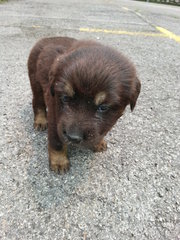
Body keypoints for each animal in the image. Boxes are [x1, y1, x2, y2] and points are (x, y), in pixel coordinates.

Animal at [27, 36, 141, 172]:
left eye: (103, 107)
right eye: (65, 98)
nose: (73, 137)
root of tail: (46, 38)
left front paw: (98, 143)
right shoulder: (55, 115)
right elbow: (56, 141)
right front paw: (59, 162)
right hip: (36, 82)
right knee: (38, 103)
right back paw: (40, 121)